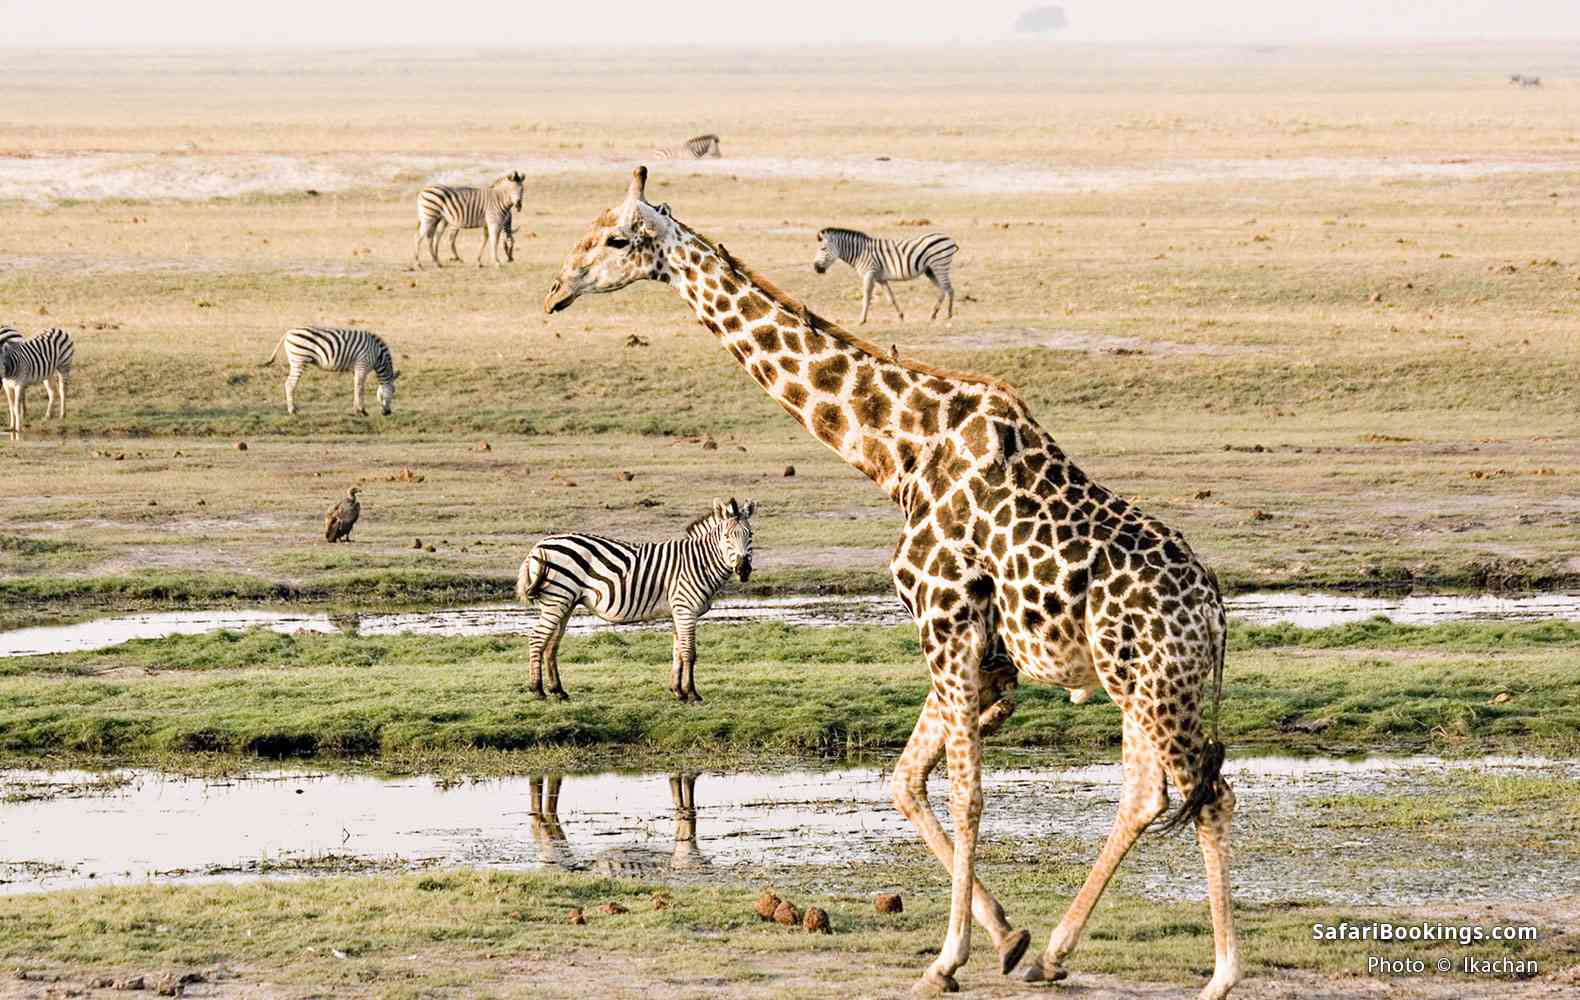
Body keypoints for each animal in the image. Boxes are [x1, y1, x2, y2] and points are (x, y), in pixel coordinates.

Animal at [261, 326, 398, 417]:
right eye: (393, 392)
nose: (388, 413)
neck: (378, 355)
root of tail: (289, 332)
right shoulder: (362, 364)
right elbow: (360, 388)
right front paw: (362, 411)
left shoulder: (356, 368)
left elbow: (356, 387)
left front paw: (355, 410)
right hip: (299, 360)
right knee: (290, 384)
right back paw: (292, 410)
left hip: (295, 360)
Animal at [515, 497, 755, 703]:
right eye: (727, 537)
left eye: (750, 534)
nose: (743, 569)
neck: (699, 562)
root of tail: (538, 546)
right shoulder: (686, 609)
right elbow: (689, 653)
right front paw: (692, 694)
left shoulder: (678, 611)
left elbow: (676, 651)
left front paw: (677, 691)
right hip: (557, 599)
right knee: (537, 639)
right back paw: (537, 690)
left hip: (565, 602)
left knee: (551, 644)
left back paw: (558, 691)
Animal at [812, 227, 959, 325]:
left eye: (823, 249)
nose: (816, 268)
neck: (860, 252)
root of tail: (949, 238)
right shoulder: (880, 278)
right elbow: (891, 298)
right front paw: (900, 316)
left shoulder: (869, 274)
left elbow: (866, 298)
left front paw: (862, 320)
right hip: (930, 270)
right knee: (945, 289)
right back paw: (939, 314)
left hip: (939, 265)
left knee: (947, 288)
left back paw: (945, 314)